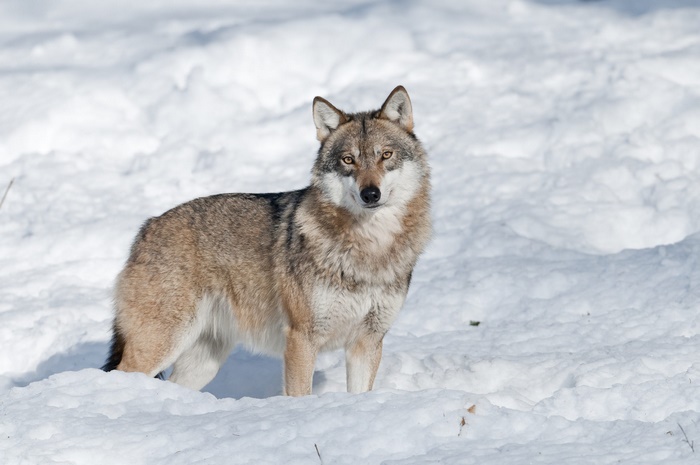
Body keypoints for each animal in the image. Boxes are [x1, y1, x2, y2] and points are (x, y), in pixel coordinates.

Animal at [102, 86, 431, 396]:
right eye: (348, 160)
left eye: (385, 155)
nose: (370, 194)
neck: (370, 247)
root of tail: (146, 228)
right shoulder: (301, 338)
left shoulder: (368, 341)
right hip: (162, 343)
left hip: (203, 360)